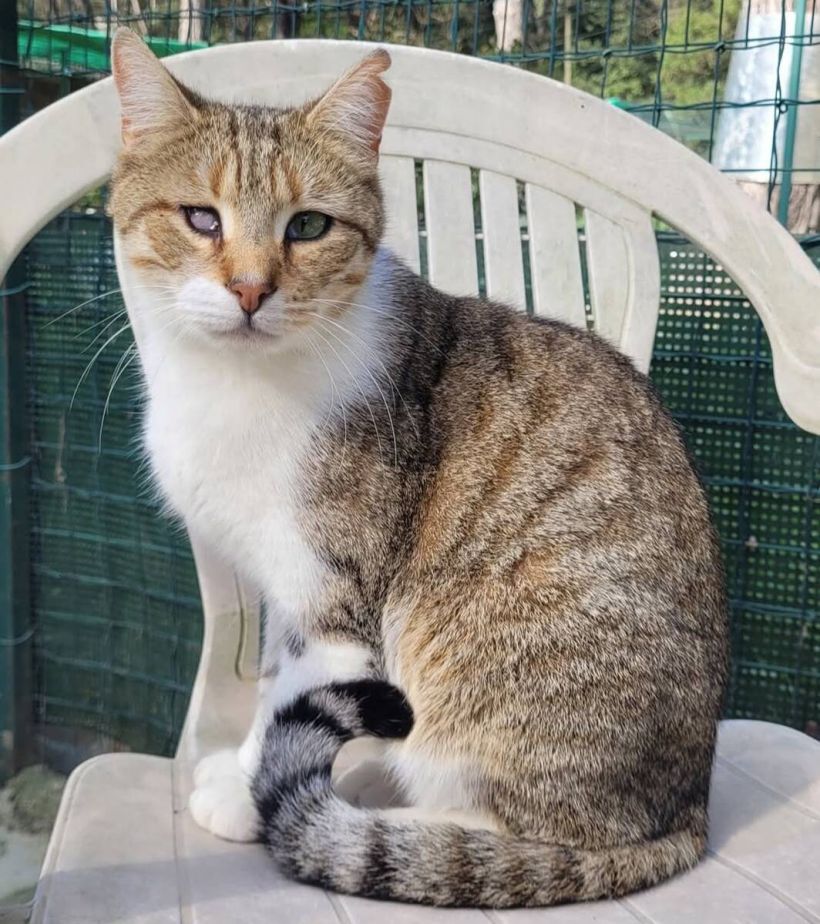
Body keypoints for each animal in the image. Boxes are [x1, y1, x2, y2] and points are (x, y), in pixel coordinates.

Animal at [110, 28, 728, 908]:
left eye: (308, 225)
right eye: (201, 217)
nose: (252, 290)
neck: (236, 383)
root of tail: (687, 816)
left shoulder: (332, 585)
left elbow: (291, 690)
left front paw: (244, 788)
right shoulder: (281, 583)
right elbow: (273, 677)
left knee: (510, 835)